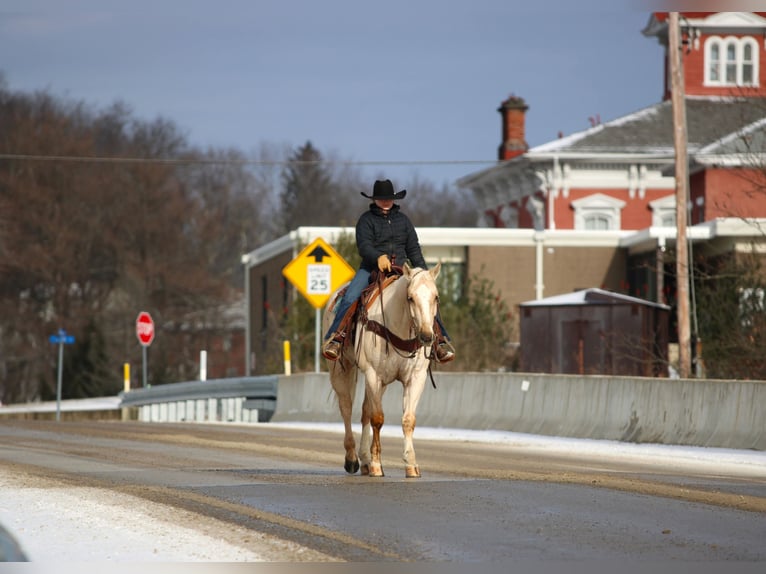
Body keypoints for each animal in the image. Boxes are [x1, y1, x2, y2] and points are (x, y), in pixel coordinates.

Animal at [322, 261, 442, 478]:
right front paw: (377, 465)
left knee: (364, 411)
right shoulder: (373, 374)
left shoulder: (415, 378)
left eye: (435, 297)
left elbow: (408, 420)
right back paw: (352, 459)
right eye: (410, 298)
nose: (427, 336)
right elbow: (377, 418)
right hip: (340, 370)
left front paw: (411, 464)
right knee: (346, 409)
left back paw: (365, 461)